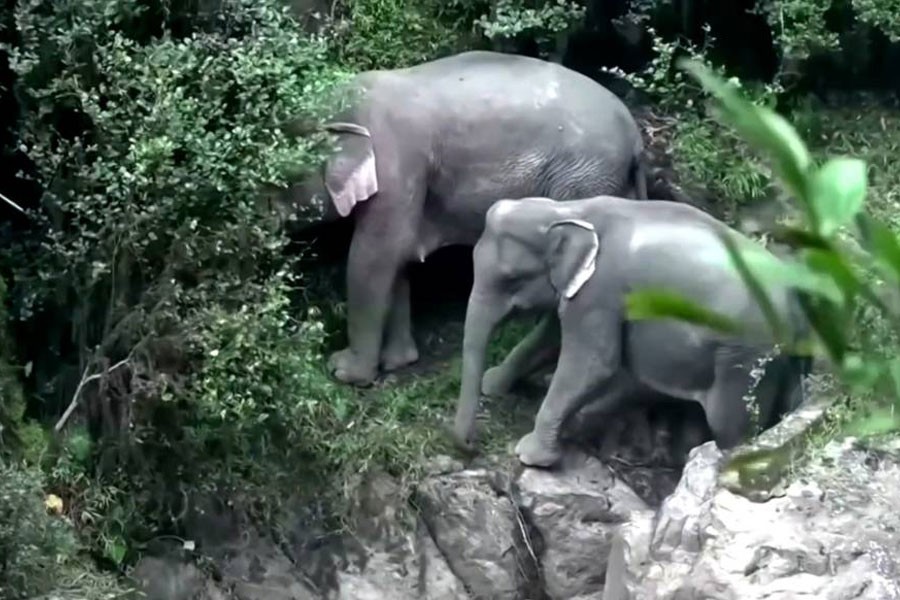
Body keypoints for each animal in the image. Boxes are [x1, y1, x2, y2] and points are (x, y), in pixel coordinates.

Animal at [292, 50, 652, 384]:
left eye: (283, 181)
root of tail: (635, 138)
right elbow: (397, 253)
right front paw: (398, 361)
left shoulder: (395, 162)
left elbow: (373, 255)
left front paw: (345, 372)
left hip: (582, 181)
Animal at [454, 195, 812, 466]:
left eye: (510, 278)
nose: (471, 446)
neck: (569, 211)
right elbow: (550, 336)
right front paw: (494, 384)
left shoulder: (602, 291)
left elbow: (591, 363)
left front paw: (529, 455)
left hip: (746, 355)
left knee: (731, 428)